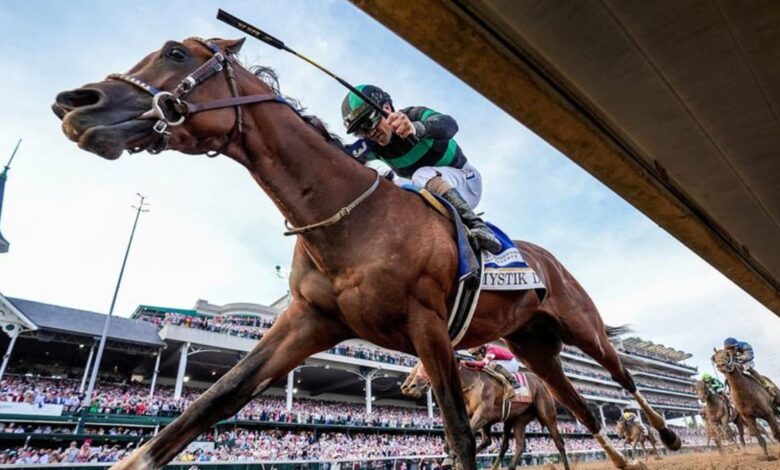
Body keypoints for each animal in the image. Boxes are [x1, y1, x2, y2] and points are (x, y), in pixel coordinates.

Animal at [402, 362, 568, 468]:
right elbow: (458, 440)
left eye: (426, 367)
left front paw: (451, 459)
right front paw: (455, 459)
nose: (409, 387)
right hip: (517, 419)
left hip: (547, 414)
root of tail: (541, 383)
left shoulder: (482, 415)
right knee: (515, 445)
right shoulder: (476, 418)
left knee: (559, 442)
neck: (470, 383)